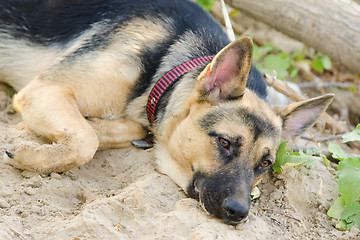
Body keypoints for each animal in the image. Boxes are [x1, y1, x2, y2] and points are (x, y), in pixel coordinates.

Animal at [0, 0, 334, 225]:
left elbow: (104, 131)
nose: (239, 213)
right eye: (224, 142)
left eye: (265, 163)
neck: (166, 70)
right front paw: (32, 157)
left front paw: (98, 126)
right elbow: (84, 142)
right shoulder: (44, 90)